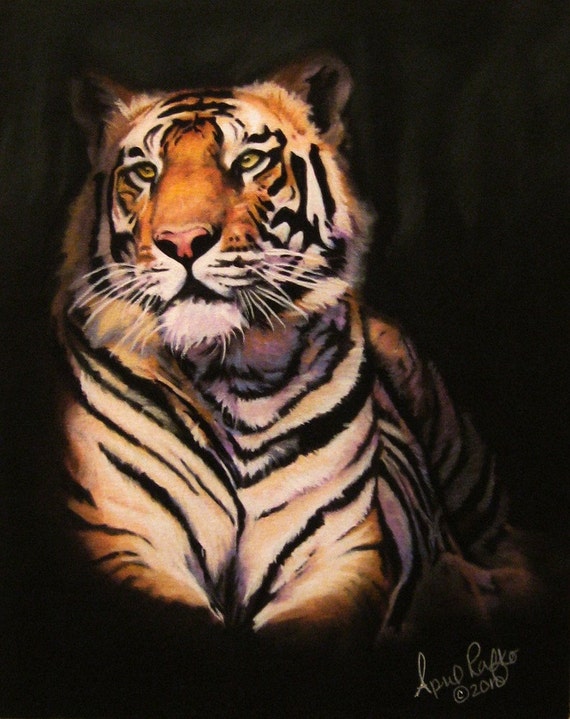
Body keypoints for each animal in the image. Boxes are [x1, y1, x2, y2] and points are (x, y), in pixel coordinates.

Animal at [52, 53, 531, 657]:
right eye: (143, 172)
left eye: (249, 161)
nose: (182, 241)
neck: (235, 373)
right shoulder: (126, 537)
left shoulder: (338, 554)